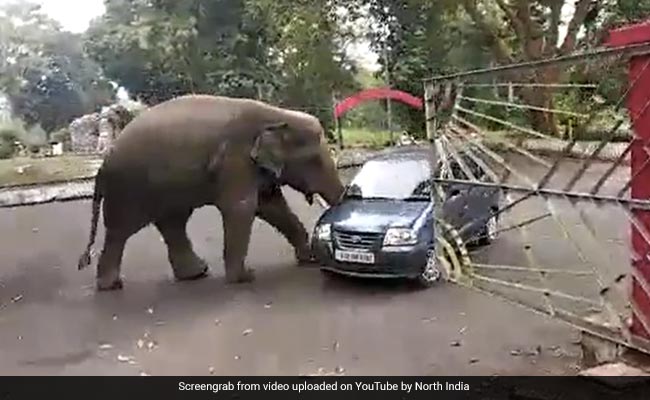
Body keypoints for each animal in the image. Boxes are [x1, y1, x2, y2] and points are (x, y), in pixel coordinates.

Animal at [77, 94, 345, 291]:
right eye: (315, 161)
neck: (278, 115)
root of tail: (103, 164)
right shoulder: (235, 159)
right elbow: (242, 207)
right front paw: (245, 277)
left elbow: (271, 205)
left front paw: (309, 259)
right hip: (128, 190)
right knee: (120, 232)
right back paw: (111, 285)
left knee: (173, 224)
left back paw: (197, 273)